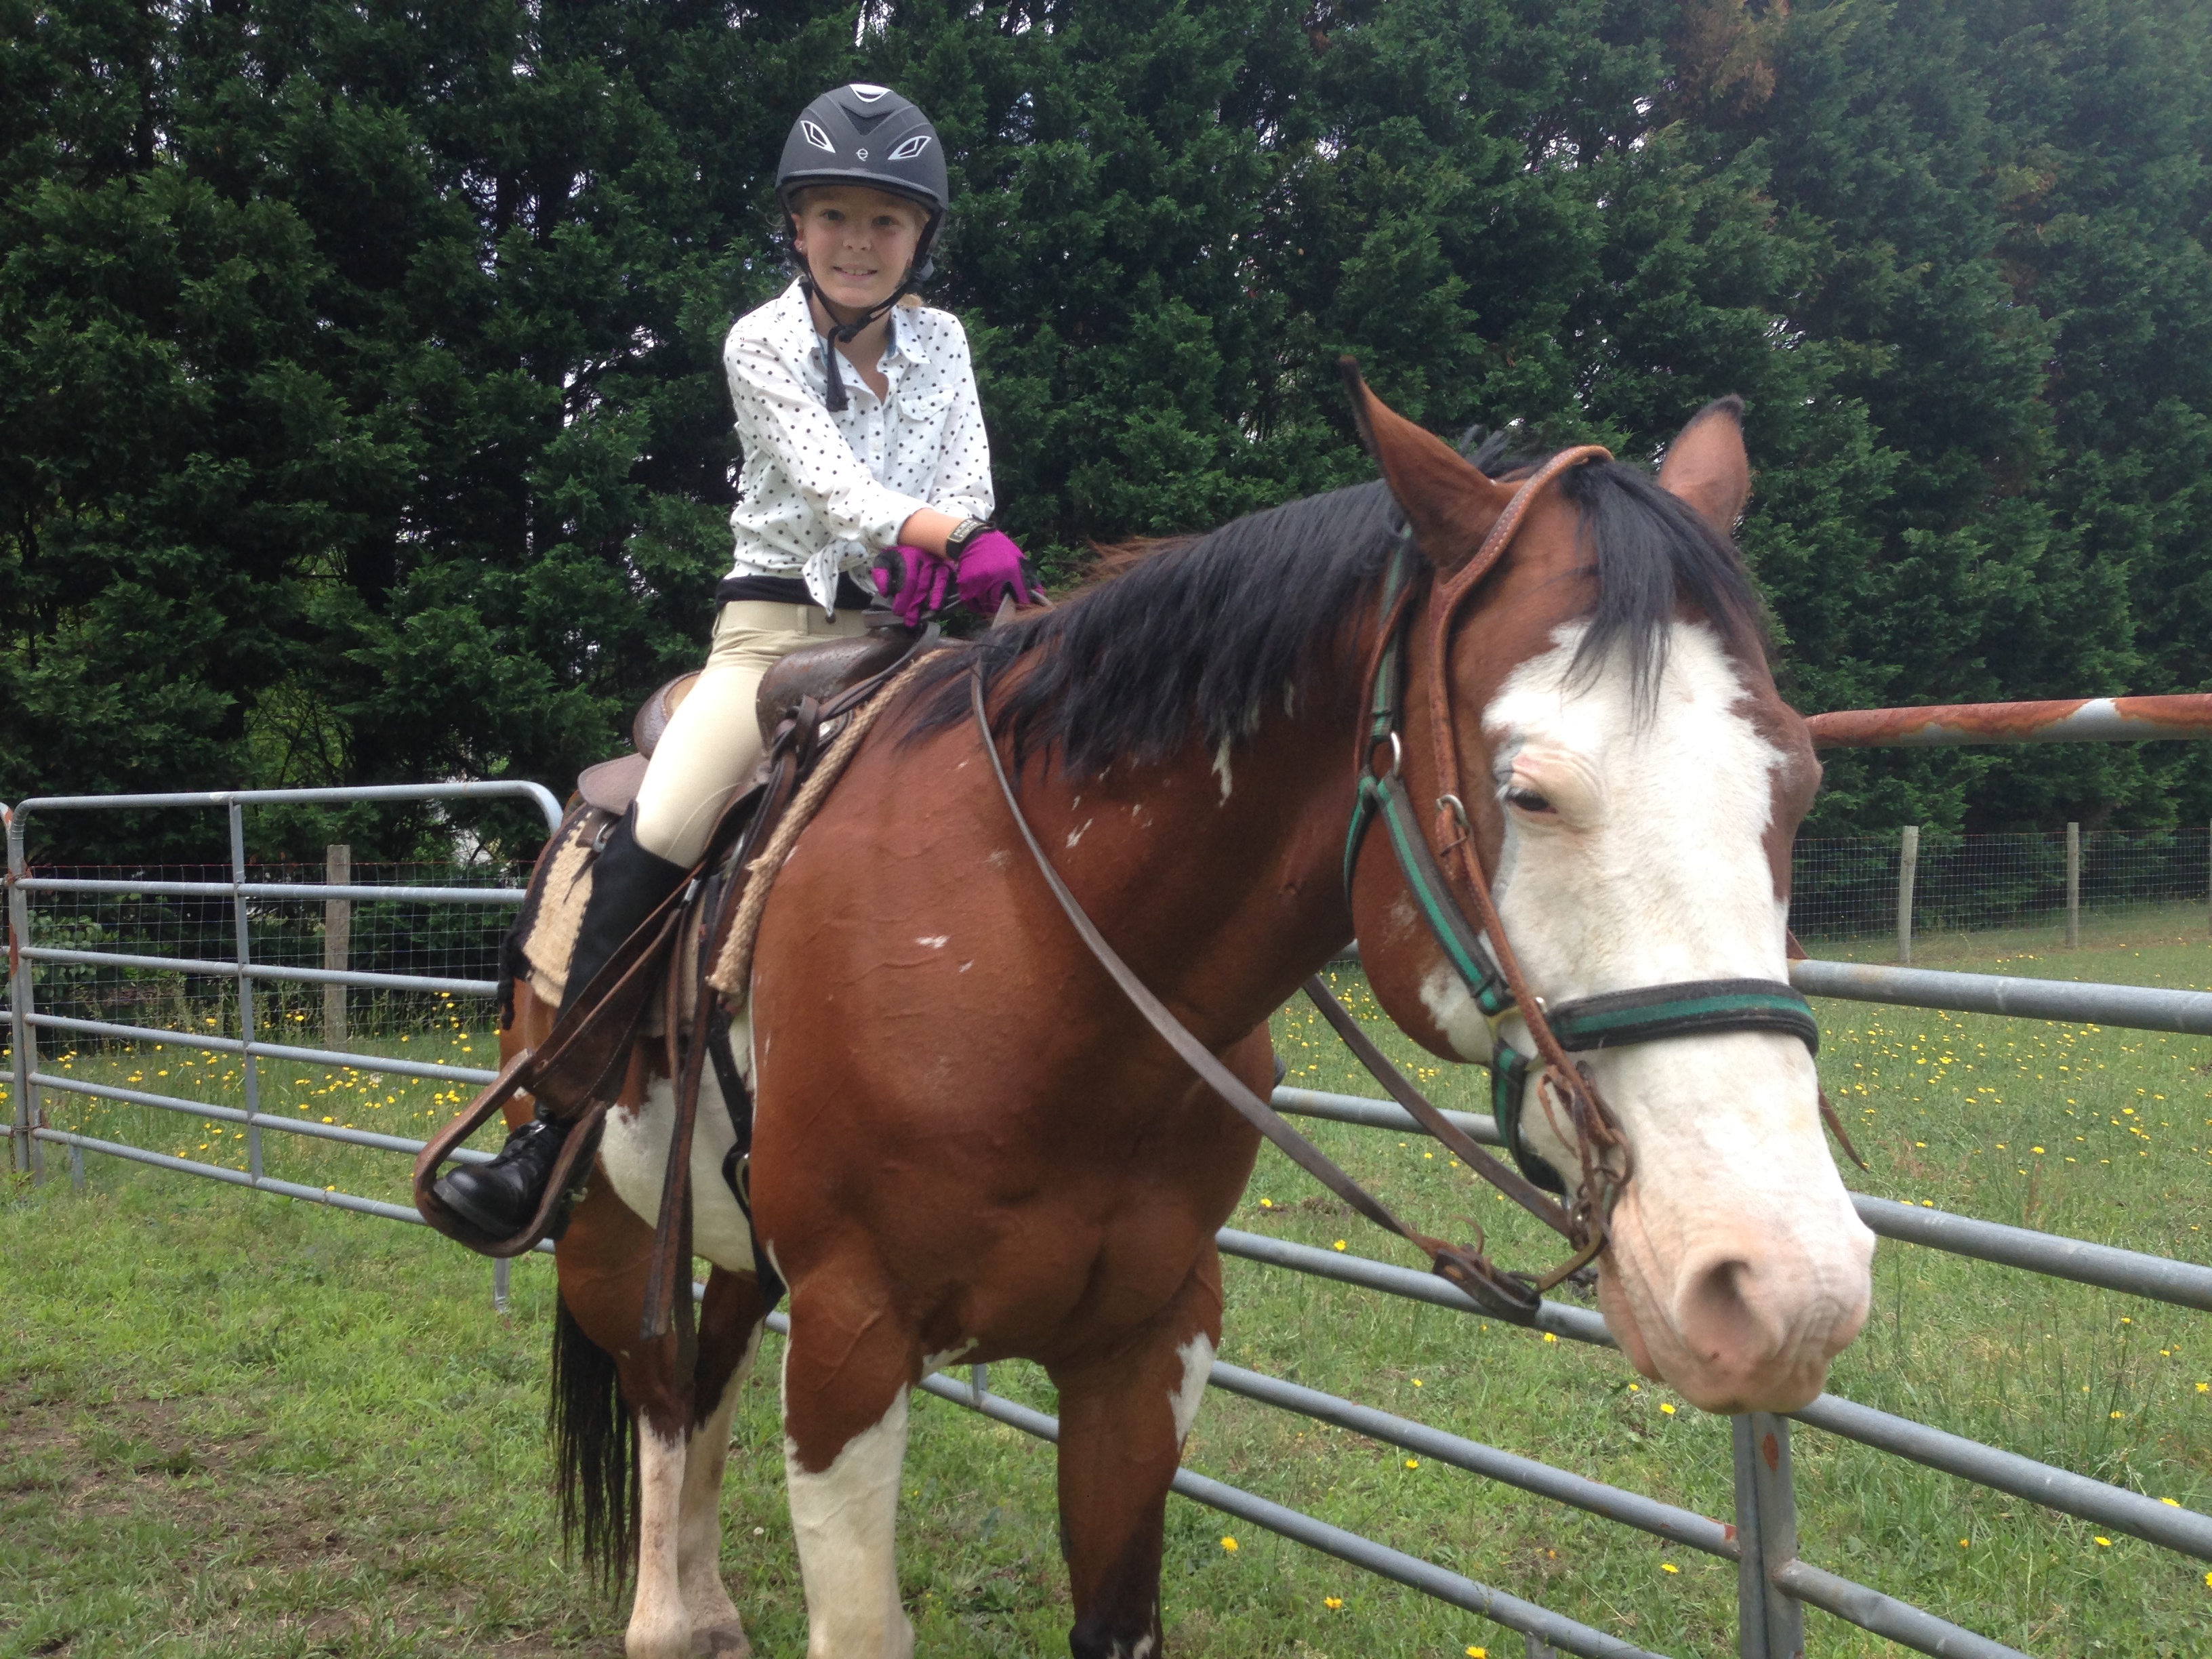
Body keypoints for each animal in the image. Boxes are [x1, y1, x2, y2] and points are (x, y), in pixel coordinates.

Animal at [516, 378, 1875, 1658]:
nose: (1783, 1285)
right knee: (659, 1390)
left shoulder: (1150, 1343)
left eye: (1803, 780)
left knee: (711, 1374)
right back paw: (668, 1613)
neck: (1031, 962)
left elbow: (1118, 1615)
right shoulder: (851, 1348)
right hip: (608, 1223)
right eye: (1528, 791)